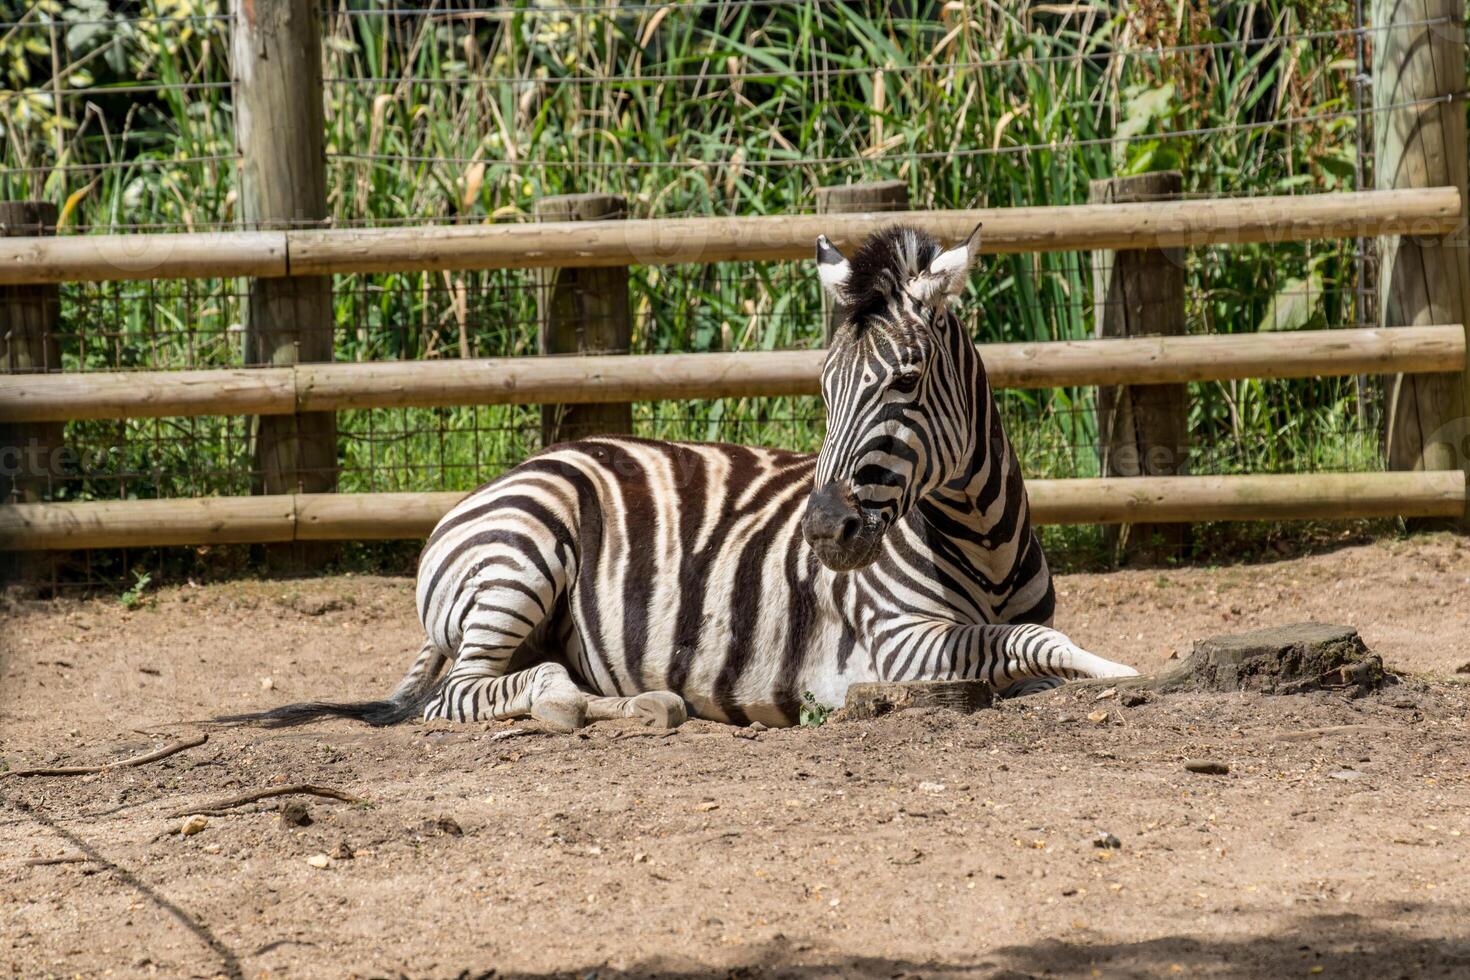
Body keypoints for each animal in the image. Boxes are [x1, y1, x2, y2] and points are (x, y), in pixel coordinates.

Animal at [229, 221, 1140, 728]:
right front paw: (1123, 672)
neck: (981, 541)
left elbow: (1032, 647)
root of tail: (510, 475)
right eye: (824, 387)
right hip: (521, 554)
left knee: (536, 679)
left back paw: (639, 704)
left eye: (906, 381)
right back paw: (566, 703)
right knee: (461, 692)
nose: (823, 531)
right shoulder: (896, 643)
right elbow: (1031, 642)